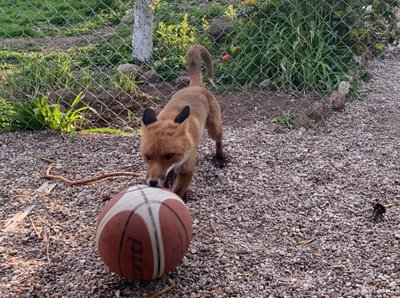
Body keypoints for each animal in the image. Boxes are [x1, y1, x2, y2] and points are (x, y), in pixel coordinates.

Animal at [141, 44, 223, 198]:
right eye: (147, 157)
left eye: (169, 156)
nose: (153, 182)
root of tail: (195, 85)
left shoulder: (187, 170)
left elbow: (177, 192)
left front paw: (181, 198)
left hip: (213, 129)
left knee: (219, 140)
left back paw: (220, 158)